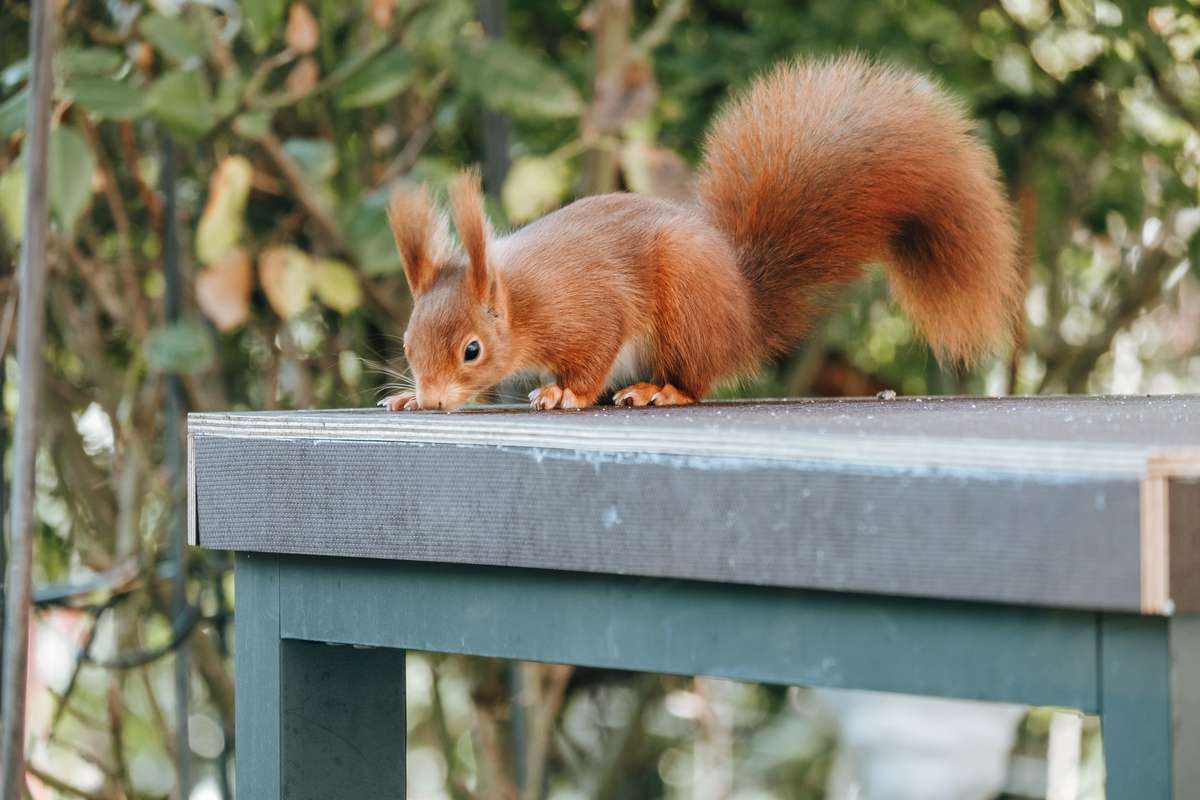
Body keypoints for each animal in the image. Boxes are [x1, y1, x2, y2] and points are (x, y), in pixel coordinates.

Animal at [381, 54, 1022, 412]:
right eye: (408, 344)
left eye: (472, 350)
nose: (433, 396)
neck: (521, 299)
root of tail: (744, 315)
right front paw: (408, 395)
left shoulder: (588, 310)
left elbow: (592, 356)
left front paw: (567, 393)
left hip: (686, 306)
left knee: (694, 378)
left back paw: (659, 391)